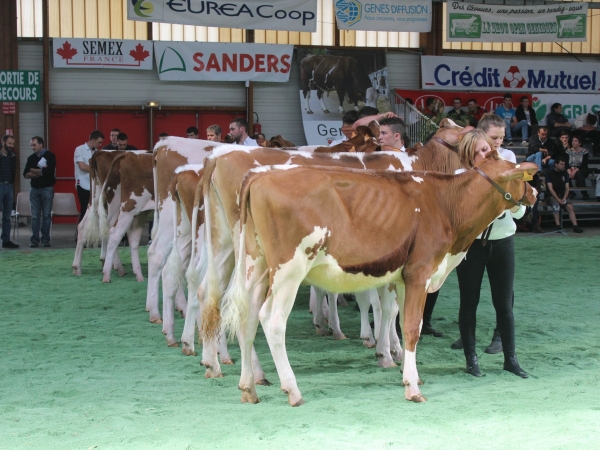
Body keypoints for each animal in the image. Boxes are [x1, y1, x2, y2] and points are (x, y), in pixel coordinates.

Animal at [210, 156, 536, 406]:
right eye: (520, 174)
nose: (534, 192)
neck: (446, 203)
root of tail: (259, 176)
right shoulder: (419, 272)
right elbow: (412, 328)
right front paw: (412, 388)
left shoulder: (403, 278)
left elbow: (402, 323)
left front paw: (407, 372)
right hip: (289, 268)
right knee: (272, 320)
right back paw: (292, 390)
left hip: (256, 265)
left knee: (247, 319)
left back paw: (249, 389)